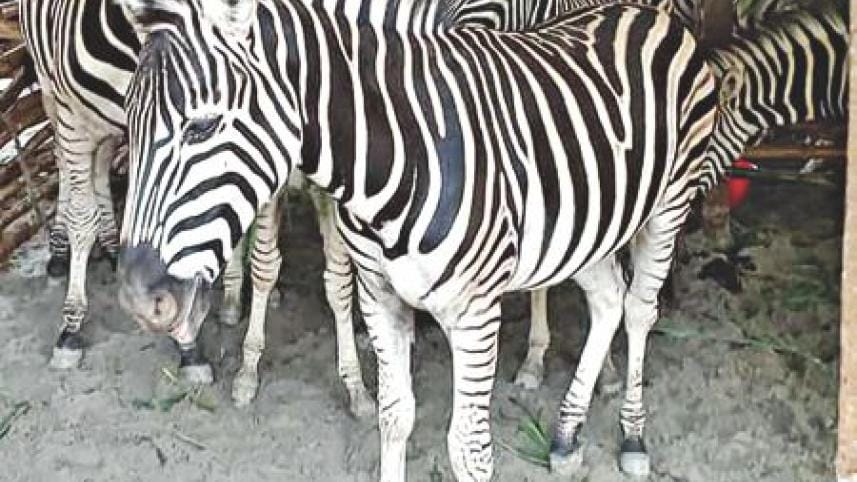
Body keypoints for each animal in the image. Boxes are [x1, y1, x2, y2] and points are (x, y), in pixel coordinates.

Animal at [18, 0, 374, 413]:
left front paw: (189, 347)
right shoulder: (82, 120)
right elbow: (83, 219)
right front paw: (71, 328)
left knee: (104, 166)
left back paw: (112, 246)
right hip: (51, 95)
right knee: (66, 169)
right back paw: (63, 253)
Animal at [115, 0, 718, 479]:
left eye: (201, 127)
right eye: (129, 124)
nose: (140, 300)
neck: (395, 163)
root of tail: (646, 13)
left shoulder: (476, 316)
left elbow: (468, 450)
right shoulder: (379, 298)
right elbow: (394, 415)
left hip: (669, 205)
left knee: (638, 310)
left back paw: (632, 437)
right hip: (583, 230)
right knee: (608, 299)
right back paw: (568, 435)